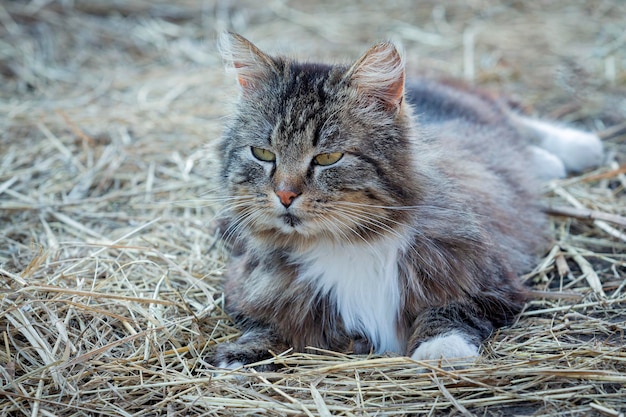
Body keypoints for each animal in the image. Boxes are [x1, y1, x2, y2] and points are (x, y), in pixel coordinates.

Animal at [212, 34, 604, 368]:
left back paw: (575, 149)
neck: (346, 243)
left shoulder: (491, 282)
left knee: (517, 121)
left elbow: (449, 310)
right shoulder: (251, 288)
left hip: (481, 112)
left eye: (327, 158)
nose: (284, 194)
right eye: (263, 154)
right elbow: (268, 324)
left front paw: (441, 349)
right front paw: (243, 354)